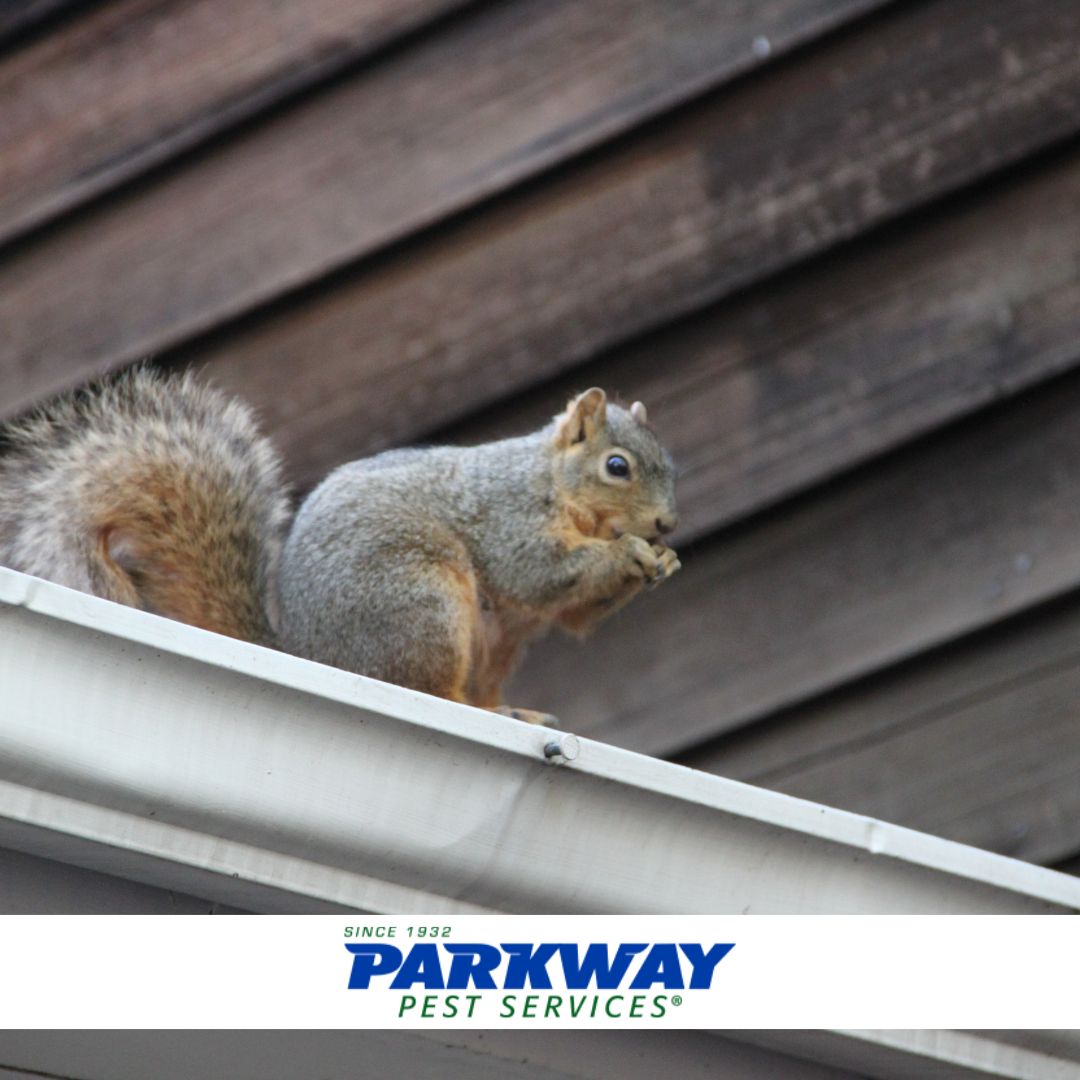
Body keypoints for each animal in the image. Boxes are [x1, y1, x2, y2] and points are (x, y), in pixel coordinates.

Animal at [0, 367, 680, 724]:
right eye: (617, 466)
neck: (552, 482)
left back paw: (513, 713)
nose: (667, 524)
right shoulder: (506, 515)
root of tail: (312, 654)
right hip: (420, 603)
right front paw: (629, 554)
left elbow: (574, 614)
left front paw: (663, 562)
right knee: (428, 688)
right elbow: (540, 573)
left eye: (671, 465)